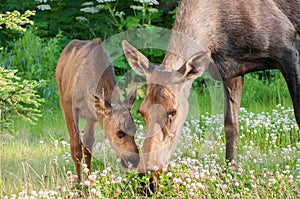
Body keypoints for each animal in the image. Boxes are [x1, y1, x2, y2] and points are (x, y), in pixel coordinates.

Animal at [56, 37, 139, 180]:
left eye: (135, 129)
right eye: (119, 132)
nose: (134, 160)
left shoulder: (93, 115)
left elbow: (88, 146)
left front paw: (89, 179)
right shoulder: (68, 105)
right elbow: (76, 146)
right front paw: (78, 184)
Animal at [122, 0, 300, 188]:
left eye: (173, 111)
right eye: (140, 111)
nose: (148, 175)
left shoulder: (288, 48)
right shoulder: (232, 69)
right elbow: (230, 125)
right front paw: (230, 173)